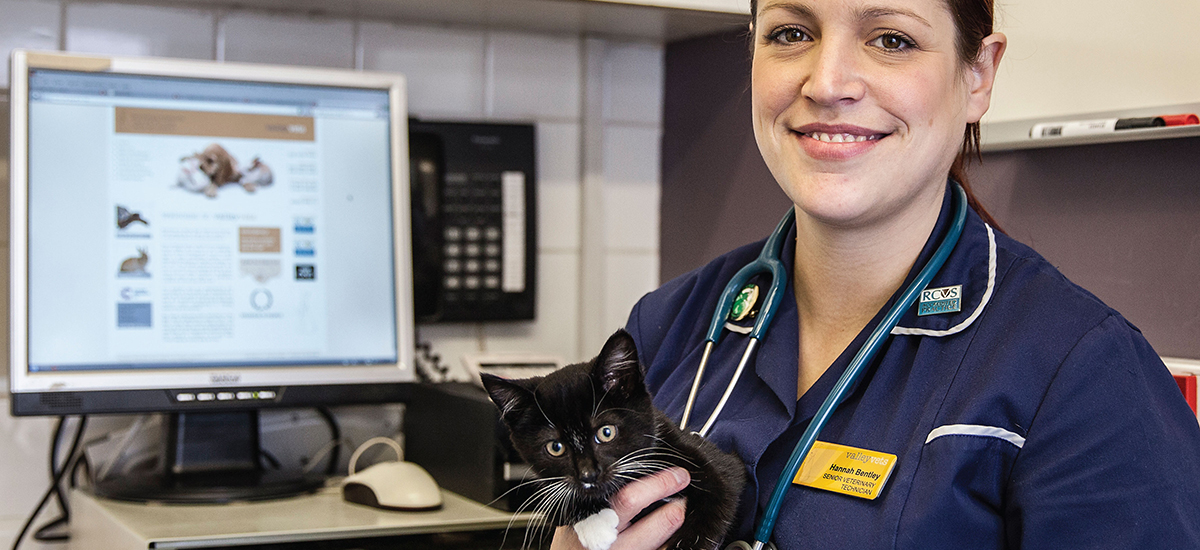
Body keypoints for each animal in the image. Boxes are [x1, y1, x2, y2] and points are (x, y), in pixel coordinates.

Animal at [477, 329, 739, 550]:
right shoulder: (549, 489)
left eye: (606, 432)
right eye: (555, 447)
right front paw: (594, 523)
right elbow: (556, 501)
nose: (588, 474)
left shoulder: (708, 461)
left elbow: (721, 493)